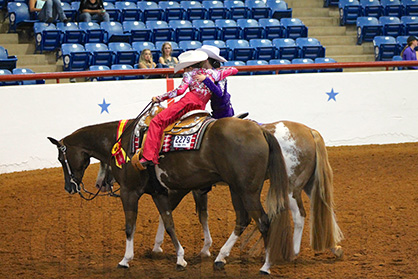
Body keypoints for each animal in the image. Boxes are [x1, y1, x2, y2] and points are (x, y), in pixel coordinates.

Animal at [48, 116, 294, 276]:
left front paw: (126, 260)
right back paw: (220, 258)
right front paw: (180, 258)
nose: (69, 187)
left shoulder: (129, 192)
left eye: (61, 159)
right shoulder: (160, 192)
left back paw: (266, 266)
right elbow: (169, 223)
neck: (122, 143)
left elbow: (130, 226)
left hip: (248, 190)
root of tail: (260, 131)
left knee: (263, 221)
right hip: (236, 188)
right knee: (243, 219)